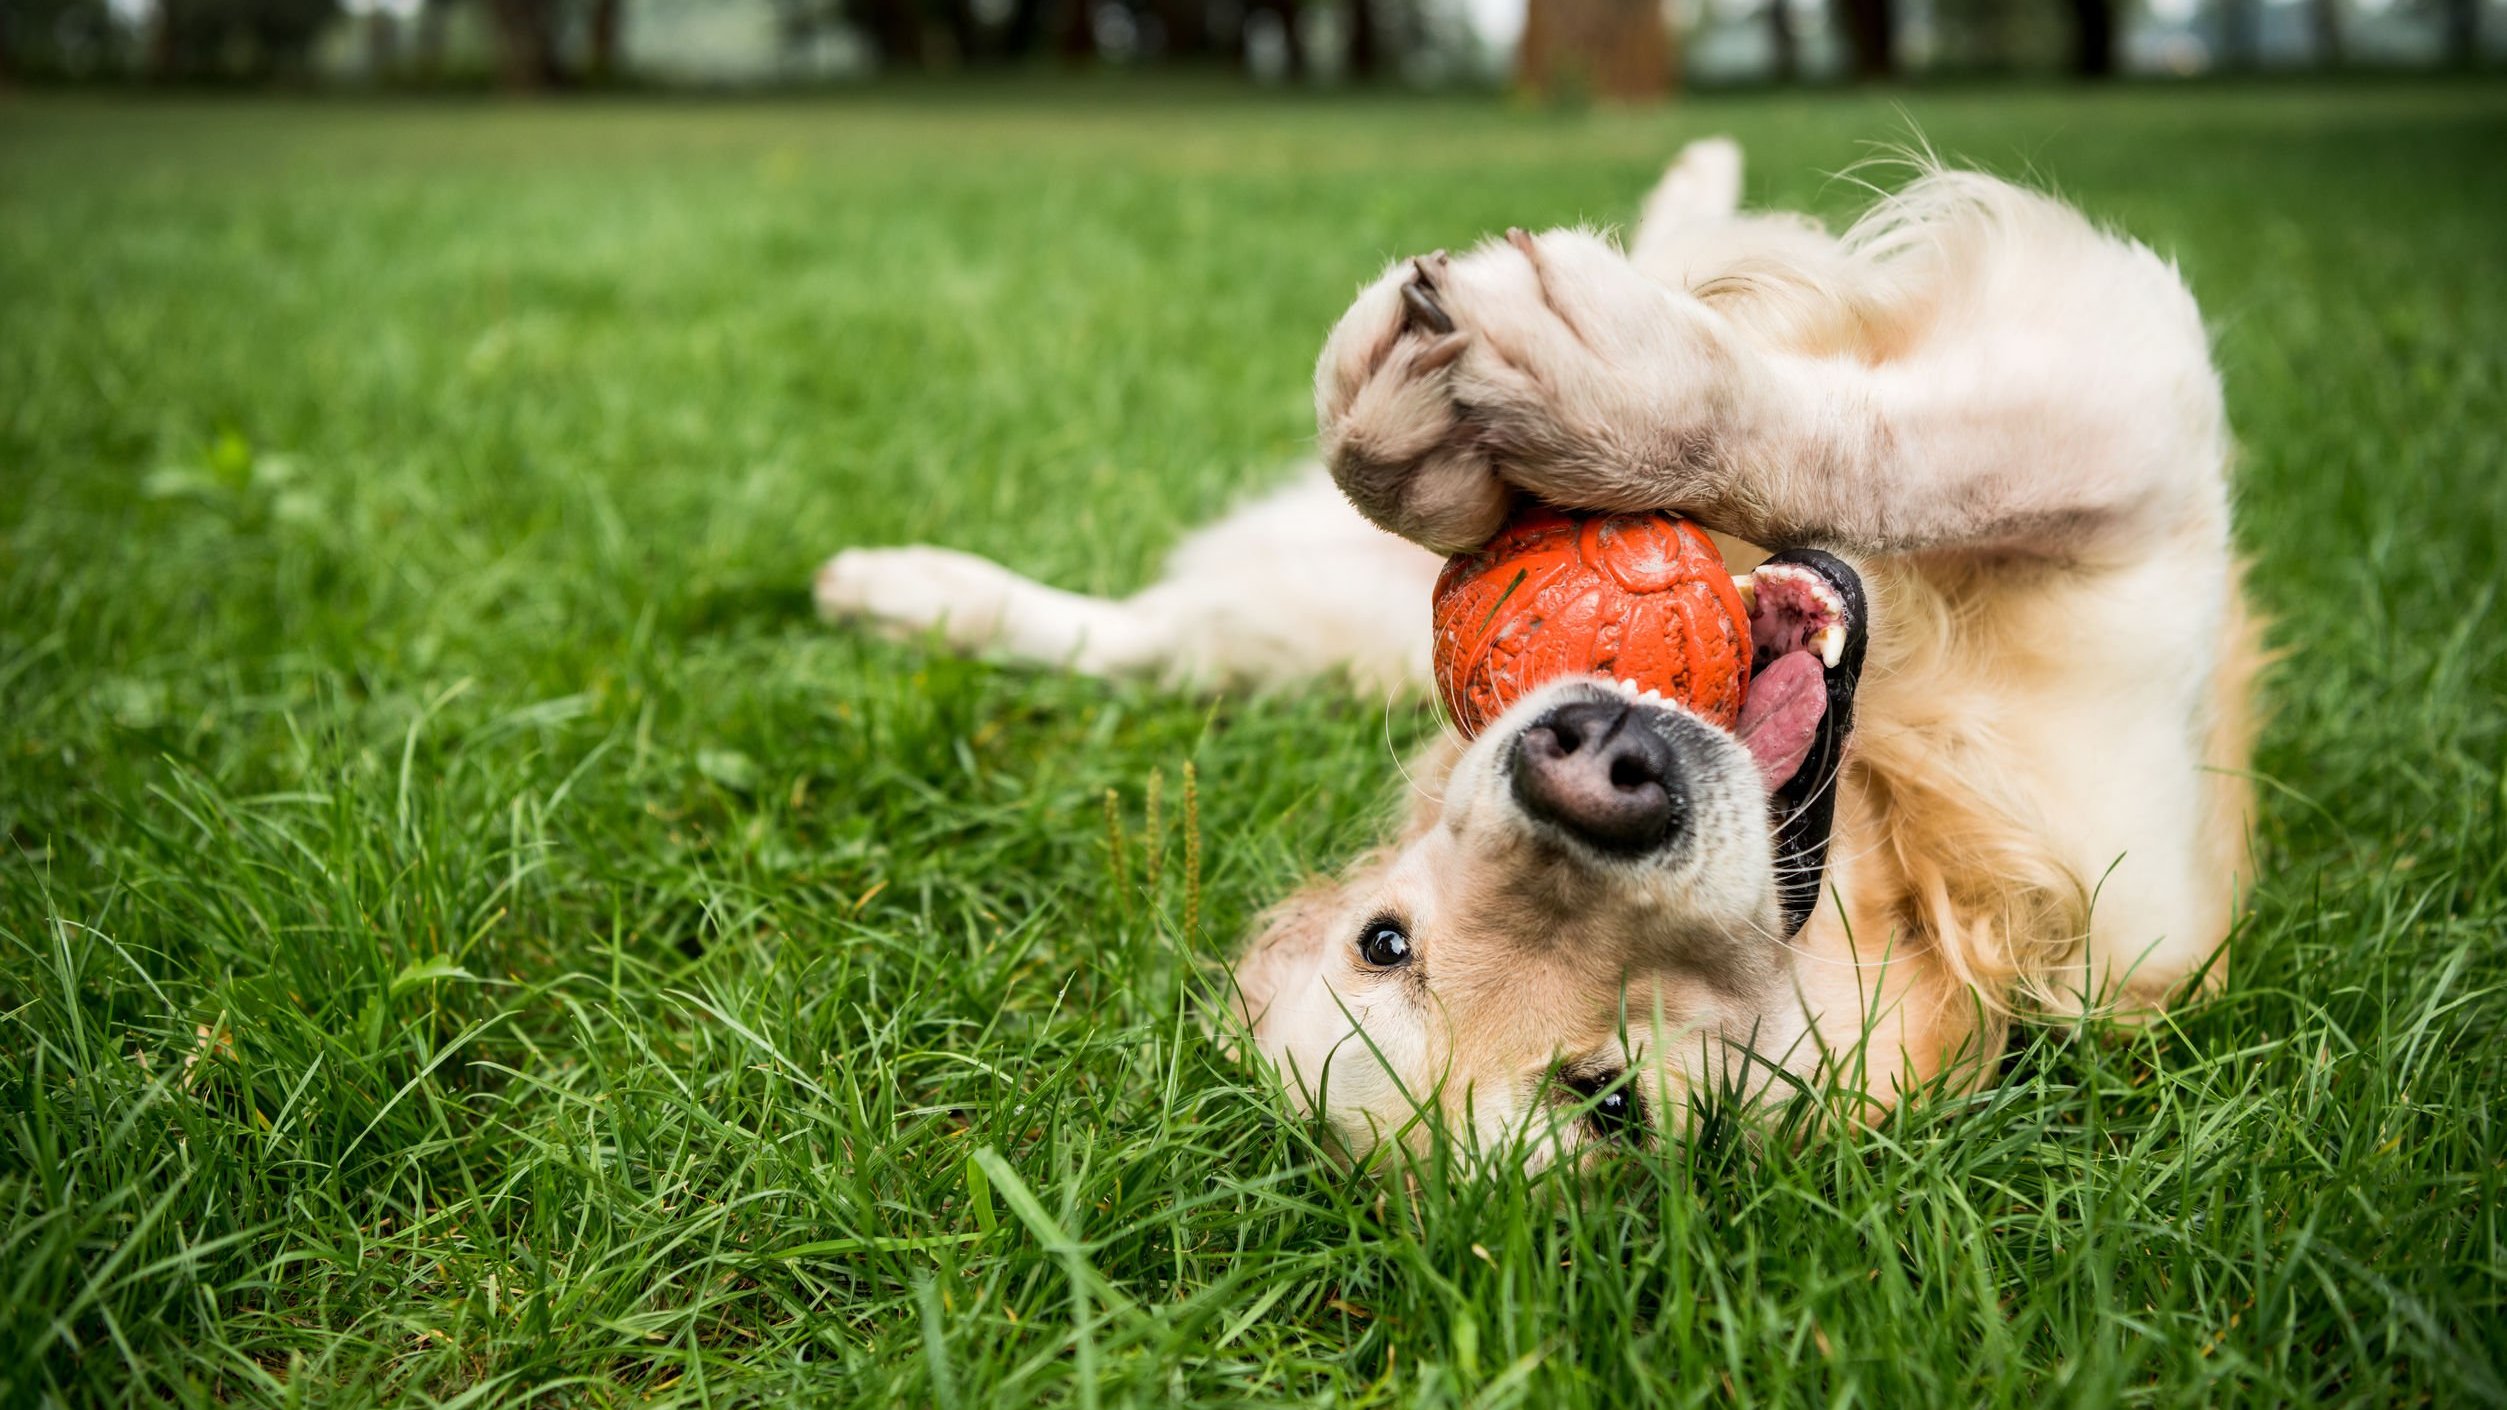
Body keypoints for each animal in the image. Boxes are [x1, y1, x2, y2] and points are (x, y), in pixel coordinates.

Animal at [812, 137, 2266, 1159]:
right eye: (1609, 1102)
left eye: (1379, 941)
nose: (1593, 766)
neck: (1896, 832)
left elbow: (1889, 442)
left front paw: (1573, 396)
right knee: (1153, 637)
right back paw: (900, 592)